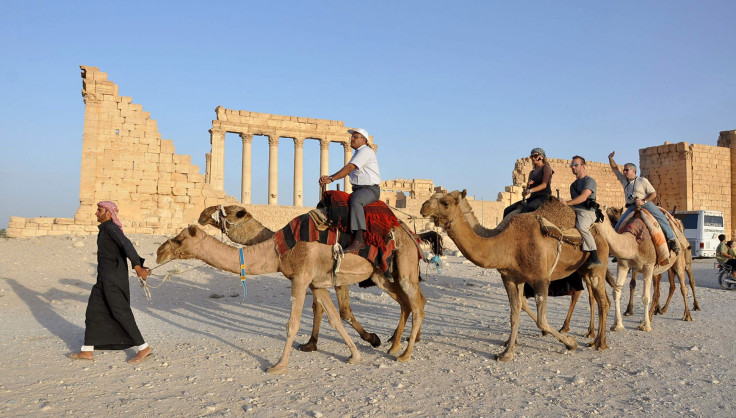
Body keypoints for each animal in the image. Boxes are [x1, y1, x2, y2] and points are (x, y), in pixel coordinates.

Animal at [158, 225, 428, 376]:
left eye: (180, 239)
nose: (160, 251)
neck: (278, 252)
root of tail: (412, 236)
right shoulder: (316, 283)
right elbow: (334, 318)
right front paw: (354, 355)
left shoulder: (300, 278)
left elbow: (292, 324)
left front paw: (278, 366)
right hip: (380, 274)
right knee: (407, 303)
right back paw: (393, 346)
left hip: (404, 265)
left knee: (416, 304)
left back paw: (405, 354)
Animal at [420, 191, 608, 360]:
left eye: (445, 202)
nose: (424, 207)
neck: (509, 243)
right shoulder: (511, 279)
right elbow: (514, 314)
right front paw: (507, 352)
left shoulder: (541, 279)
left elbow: (542, 320)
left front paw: (570, 343)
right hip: (582, 269)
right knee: (597, 298)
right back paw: (593, 337)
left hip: (597, 264)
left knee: (602, 301)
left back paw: (599, 343)